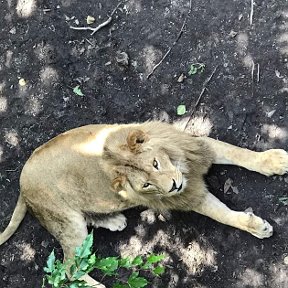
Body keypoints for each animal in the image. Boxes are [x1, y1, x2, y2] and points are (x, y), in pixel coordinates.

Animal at [0, 121, 288, 286]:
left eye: (155, 163)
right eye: (147, 185)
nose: (173, 186)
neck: (181, 165)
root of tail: (22, 180)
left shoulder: (198, 148)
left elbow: (240, 154)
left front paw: (275, 161)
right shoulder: (189, 196)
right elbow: (223, 215)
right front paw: (257, 227)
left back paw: (114, 220)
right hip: (66, 223)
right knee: (70, 268)